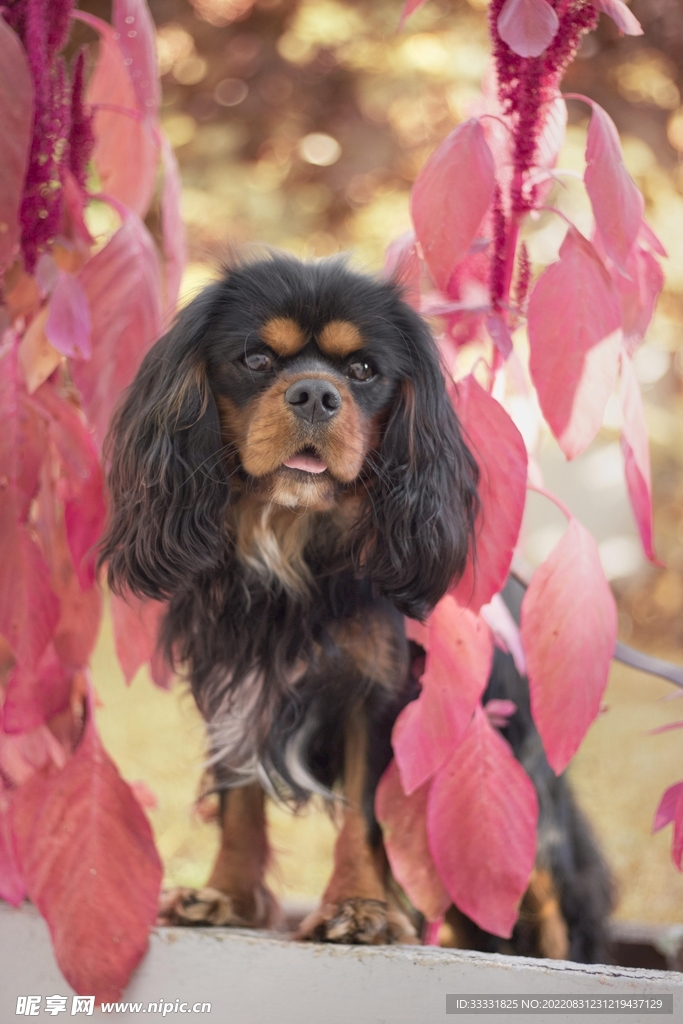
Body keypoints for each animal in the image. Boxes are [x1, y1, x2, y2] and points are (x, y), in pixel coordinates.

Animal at [98, 251, 610, 954]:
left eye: (364, 370)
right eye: (256, 359)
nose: (315, 394)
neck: (292, 539)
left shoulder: (382, 694)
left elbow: (366, 814)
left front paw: (359, 907)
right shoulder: (234, 681)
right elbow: (239, 800)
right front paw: (225, 897)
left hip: (528, 783)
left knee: (555, 902)